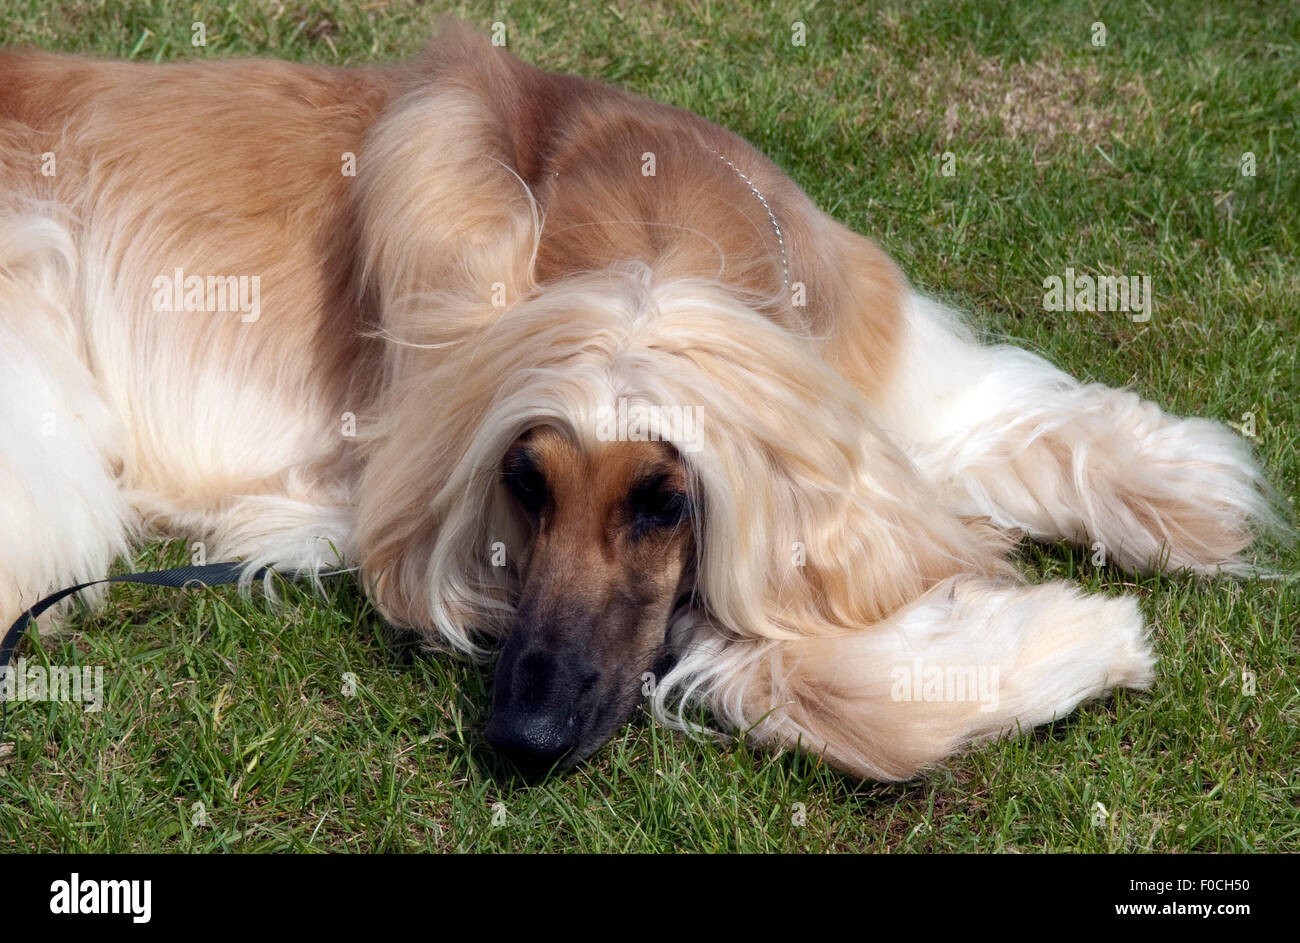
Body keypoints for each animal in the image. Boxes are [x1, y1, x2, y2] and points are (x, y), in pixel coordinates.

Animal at [0, 23, 1279, 780]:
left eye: (665, 501)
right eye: (523, 482)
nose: (521, 739)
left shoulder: (867, 360)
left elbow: (1000, 433)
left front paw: (1183, 496)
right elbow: (796, 673)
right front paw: (1070, 641)